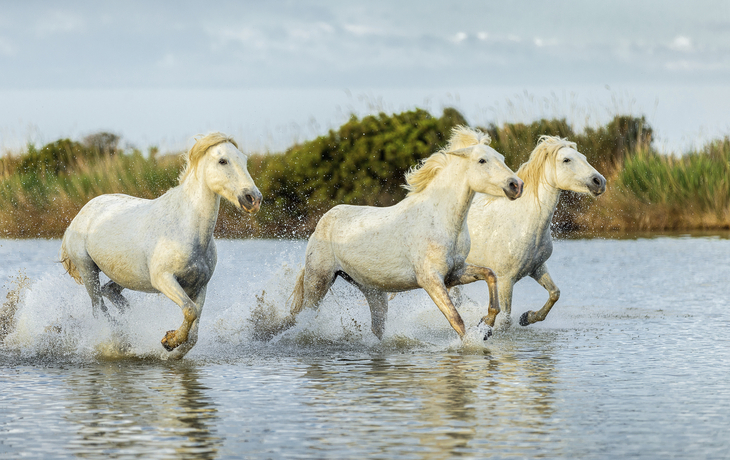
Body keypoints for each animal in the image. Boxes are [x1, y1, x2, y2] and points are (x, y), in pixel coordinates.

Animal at [60, 132, 262, 359]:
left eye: (244, 159)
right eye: (223, 161)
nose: (253, 199)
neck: (185, 229)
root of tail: (80, 214)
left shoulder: (200, 286)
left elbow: (193, 333)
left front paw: (171, 347)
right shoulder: (163, 279)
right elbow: (190, 311)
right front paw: (170, 340)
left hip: (125, 275)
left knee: (109, 291)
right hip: (87, 269)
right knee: (99, 309)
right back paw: (119, 341)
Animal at [281, 126, 524, 341]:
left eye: (501, 158)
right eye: (482, 161)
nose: (517, 185)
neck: (440, 219)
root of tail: (323, 221)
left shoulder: (454, 273)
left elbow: (490, 275)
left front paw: (486, 326)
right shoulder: (430, 280)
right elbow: (457, 320)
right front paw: (474, 341)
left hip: (373, 291)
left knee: (377, 328)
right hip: (319, 281)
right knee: (303, 318)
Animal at [465, 135, 606, 328]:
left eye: (583, 157)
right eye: (566, 160)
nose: (599, 182)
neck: (525, 224)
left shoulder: (537, 268)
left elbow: (555, 293)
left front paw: (527, 317)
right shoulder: (505, 280)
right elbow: (506, 319)